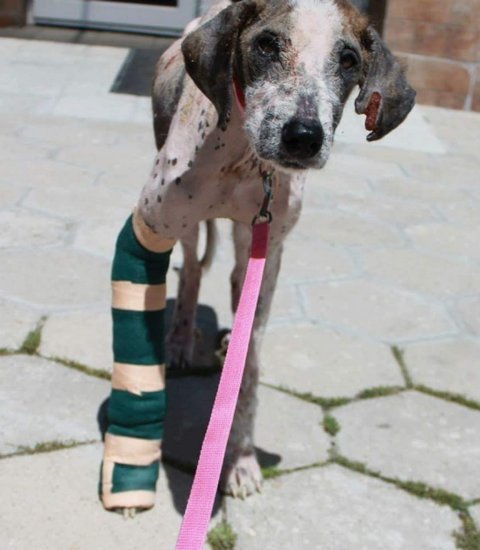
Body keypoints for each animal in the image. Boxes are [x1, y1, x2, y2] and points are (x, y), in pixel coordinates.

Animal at [100, 0, 415, 513]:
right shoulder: (153, 224)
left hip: (249, 242)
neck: (244, 161)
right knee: (191, 272)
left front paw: (241, 462)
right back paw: (180, 340)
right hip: (186, 229)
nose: (303, 136)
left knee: (232, 280)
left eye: (349, 59)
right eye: (266, 44)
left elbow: (248, 372)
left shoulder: (269, 249)